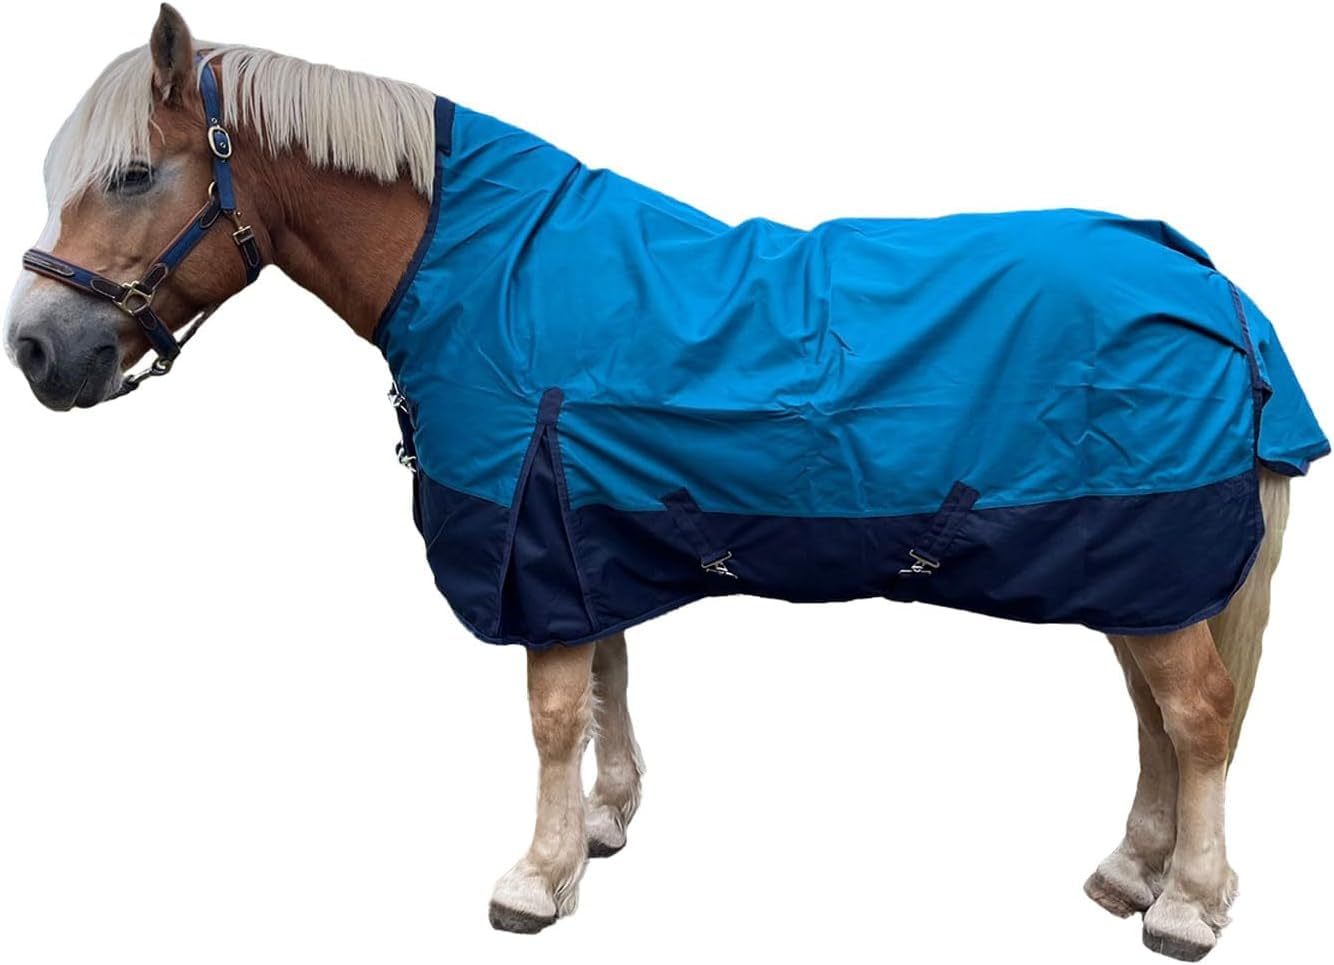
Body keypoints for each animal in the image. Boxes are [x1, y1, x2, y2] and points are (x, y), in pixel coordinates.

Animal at [4, 6, 1326, 959]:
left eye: (133, 174)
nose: (35, 351)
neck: (484, 269)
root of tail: (1209, 283)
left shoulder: (530, 539)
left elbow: (550, 712)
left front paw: (533, 881)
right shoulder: (581, 531)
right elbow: (604, 684)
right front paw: (600, 826)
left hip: (1149, 564)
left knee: (1196, 718)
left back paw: (1185, 903)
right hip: (1135, 574)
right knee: (1156, 718)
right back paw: (1128, 871)